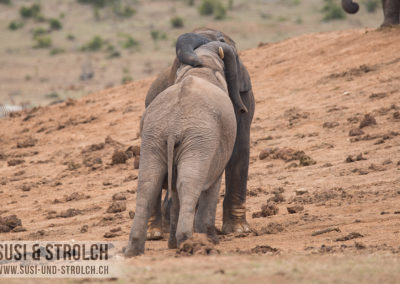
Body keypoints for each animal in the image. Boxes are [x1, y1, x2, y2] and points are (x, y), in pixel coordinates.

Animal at [123, 41, 241, 256]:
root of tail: (173, 126)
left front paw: (172, 245)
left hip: (153, 137)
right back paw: (190, 243)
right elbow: (212, 185)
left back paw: (134, 251)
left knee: (148, 185)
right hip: (199, 140)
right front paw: (211, 240)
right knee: (189, 184)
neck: (201, 66)